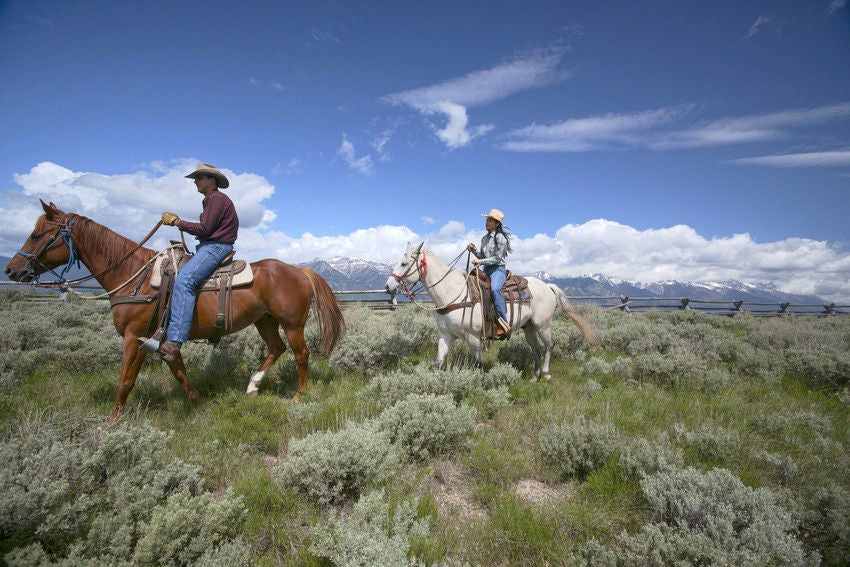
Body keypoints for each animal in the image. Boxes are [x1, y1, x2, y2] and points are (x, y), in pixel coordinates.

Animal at [5, 201, 344, 422]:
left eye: (37, 235)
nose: (11, 270)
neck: (136, 277)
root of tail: (299, 270)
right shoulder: (161, 336)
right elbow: (177, 367)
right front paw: (195, 400)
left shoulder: (134, 336)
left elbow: (125, 380)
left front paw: (112, 421)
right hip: (265, 321)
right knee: (276, 349)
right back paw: (252, 386)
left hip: (291, 323)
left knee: (301, 354)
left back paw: (298, 396)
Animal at [386, 242, 596, 380]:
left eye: (404, 263)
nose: (388, 286)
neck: (454, 291)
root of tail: (547, 286)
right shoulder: (445, 335)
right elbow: (438, 361)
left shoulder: (472, 336)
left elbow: (477, 363)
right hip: (529, 327)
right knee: (536, 349)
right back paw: (534, 376)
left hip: (542, 325)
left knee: (549, 346)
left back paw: (545, 374)